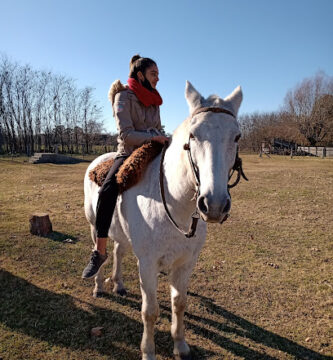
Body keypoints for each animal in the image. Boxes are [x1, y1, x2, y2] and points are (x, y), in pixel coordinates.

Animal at [84, 81, 243, 360]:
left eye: (236, 137)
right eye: (193, 135)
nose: (213, 204)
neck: (174, 204)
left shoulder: (186, 262)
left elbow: (179, 303)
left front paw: (180, 345)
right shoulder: (147, 263)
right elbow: (150, 311)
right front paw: (148, 351)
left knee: (118, 250)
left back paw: (118, 284)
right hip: (95, 226)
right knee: (100, 250)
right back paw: (98, 285)